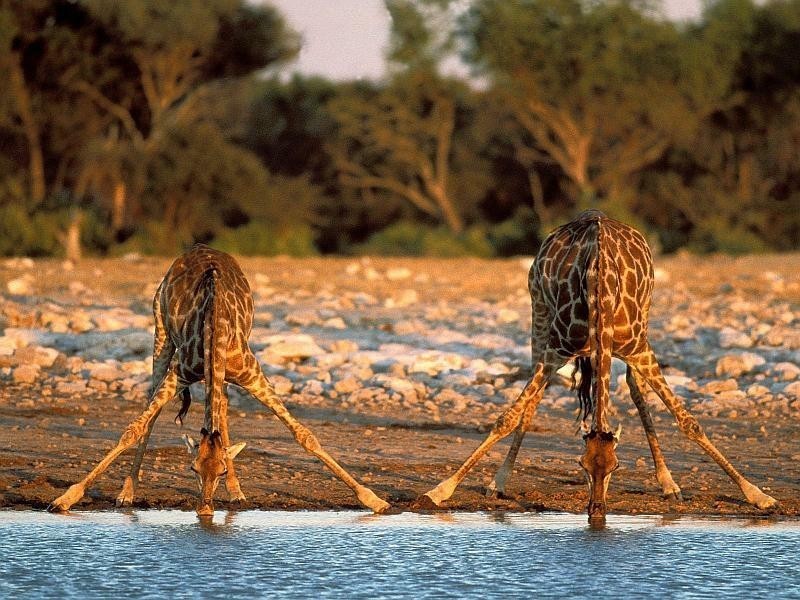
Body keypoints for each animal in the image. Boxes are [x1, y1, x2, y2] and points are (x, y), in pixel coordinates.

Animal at [47, 244, 390, 516]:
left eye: (221, 470)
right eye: (192, 468)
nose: (205, 510)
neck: (215, 327)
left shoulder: (253, 374)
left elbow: (305, 436)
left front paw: (374, 500)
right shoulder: (180, 373)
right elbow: (133, 429)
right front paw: (65, 499)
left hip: (219, 371)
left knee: (222, 409)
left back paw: (237, 492)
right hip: (161, 333)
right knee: (153, 407)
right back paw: (127, 493)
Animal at [416, 209, 780, 516]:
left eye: (616, 466)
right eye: (581, 465)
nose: (596, 511)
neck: (600, 288)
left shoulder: (639, 348)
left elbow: (689, 423)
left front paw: (758, 494)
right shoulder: (555, 350)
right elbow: (507, 417)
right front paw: (441, 490)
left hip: (644, 320)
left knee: (634, 387)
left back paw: (669, 484)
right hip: (539, 314)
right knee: (533, 397)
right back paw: (499, 482)